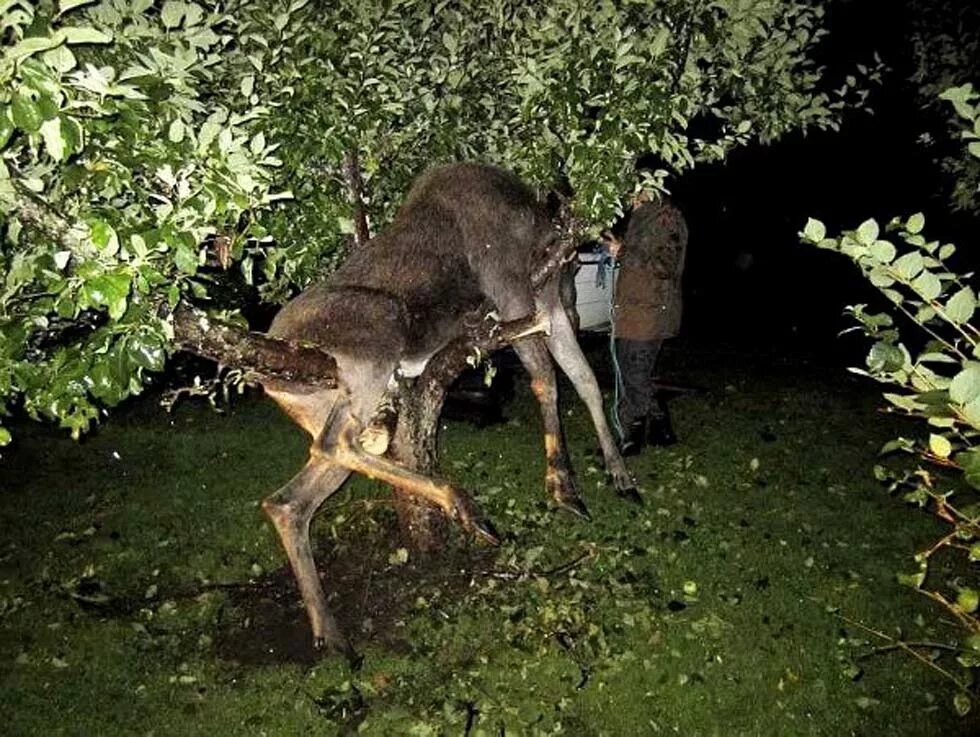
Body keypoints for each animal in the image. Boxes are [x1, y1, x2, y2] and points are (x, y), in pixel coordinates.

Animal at [238, 162, 640, 656]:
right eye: (580, 265)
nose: (581, 311)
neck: (537, 232)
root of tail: (266, 378)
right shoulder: (511, 289)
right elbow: (546, 379)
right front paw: (563, 486)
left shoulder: (544, 303)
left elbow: (584, 381)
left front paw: (619, 474)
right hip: (379, 334)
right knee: (337, 444)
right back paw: (462, 503)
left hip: (340, 412)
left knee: (292, 499)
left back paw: (331, 631)